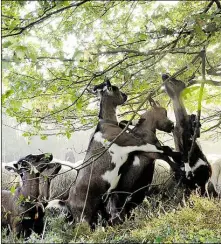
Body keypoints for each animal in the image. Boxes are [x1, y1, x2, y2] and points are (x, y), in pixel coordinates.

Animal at [46, 77, 181, 229]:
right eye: (116, 89)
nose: (126, 95)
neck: (106, 124)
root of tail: (67, 202)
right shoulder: (134, 143)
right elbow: (162, 150)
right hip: (85, 216)